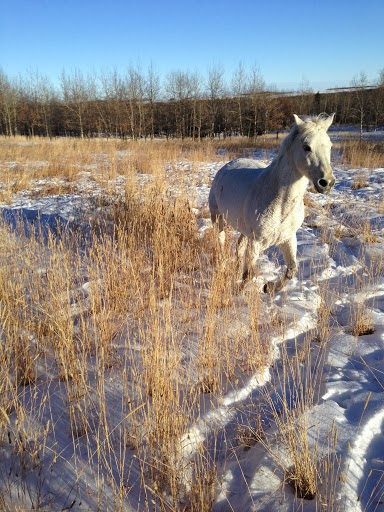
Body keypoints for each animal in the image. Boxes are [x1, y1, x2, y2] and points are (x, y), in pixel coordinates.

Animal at [208, 114, 334, 294]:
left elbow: (292, 269)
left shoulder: (288, 238)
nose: (327, 182)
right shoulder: (256, 241)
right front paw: (238, 292)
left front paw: (269, 287)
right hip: (218, 218)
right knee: (221, 243)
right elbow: (249, 273)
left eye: (330, 146)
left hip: (244, 230)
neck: (280, 204)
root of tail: (227, 166)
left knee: (239, 248)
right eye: (306, 147)